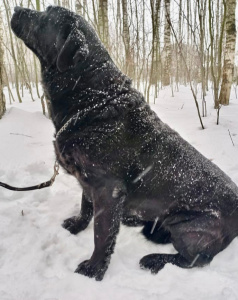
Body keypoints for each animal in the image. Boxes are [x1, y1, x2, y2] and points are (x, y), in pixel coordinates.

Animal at [11, 5, 238, 282]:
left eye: (46, 15)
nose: (17, 8)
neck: (94, 99)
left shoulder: (107, 189)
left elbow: (102, 234)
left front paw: (94, 270)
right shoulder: (89, 181)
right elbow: (85, 206)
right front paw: (77, 225)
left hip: (191, 229)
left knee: (194, 260)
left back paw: (153, 260)